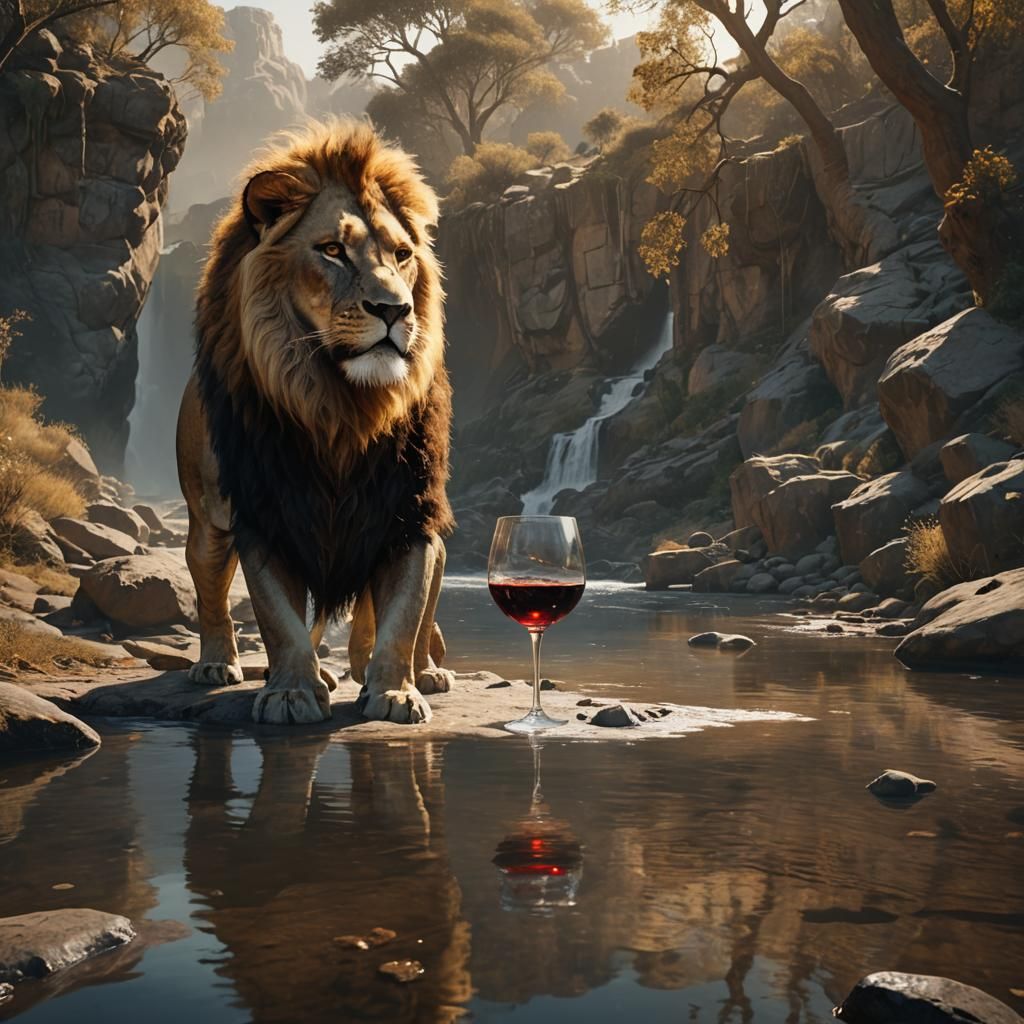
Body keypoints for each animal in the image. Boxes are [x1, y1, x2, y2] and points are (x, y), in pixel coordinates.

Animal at [176, 119, 455, 726]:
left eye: (402, 254)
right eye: (332, 250)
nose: (395, 310)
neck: (341, 407)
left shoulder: (405, 512)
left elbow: (403, 615)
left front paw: (396, 691)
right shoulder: (266, 512)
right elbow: (278, 619)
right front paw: (291, 692)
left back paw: (415, 671)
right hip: (208, 520)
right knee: (211, 594)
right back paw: (217, 663)